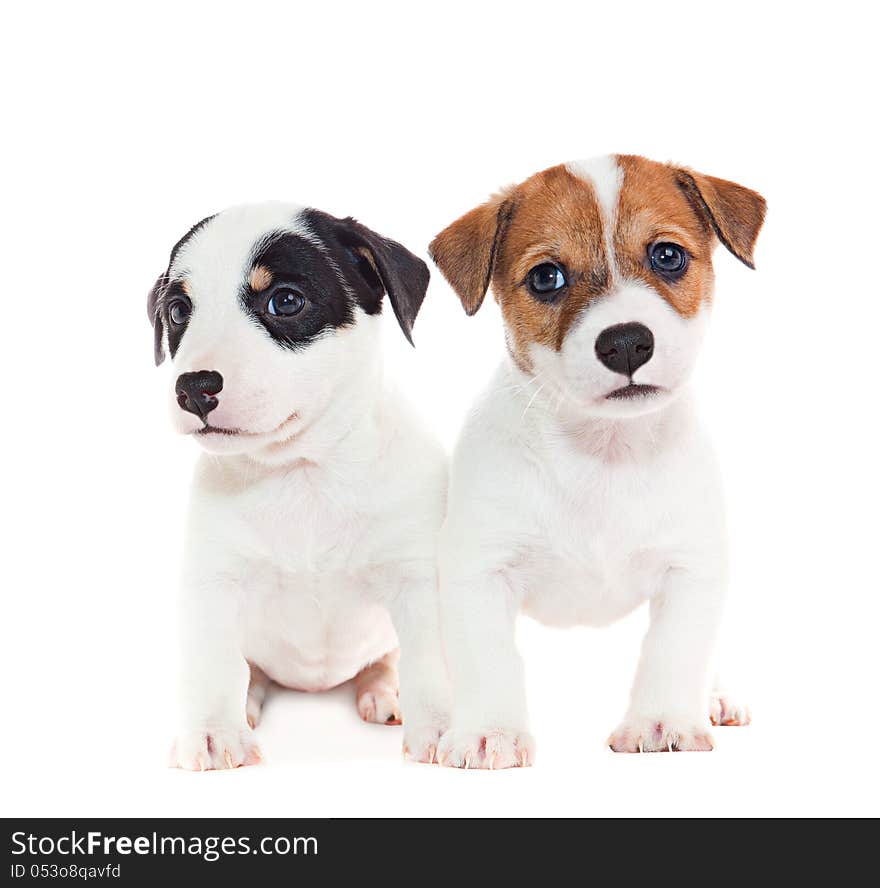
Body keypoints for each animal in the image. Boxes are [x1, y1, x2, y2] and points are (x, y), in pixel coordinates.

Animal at [150, 203, 446, 772]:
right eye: (177, 311)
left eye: (285, 301)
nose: (193, 388)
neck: (303, 473)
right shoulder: (214, 584)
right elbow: (214, 664)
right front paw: (212, 733)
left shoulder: (418, 581)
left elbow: (432, 659)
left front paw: (446, 728)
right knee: (250, 670)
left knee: (384, 659)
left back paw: (383, 692)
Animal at [430, 156, 760, 768]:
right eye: (546, 278)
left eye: (668, 256)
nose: (626, 342)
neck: (601, 454)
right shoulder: (478, 570)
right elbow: (487, 659)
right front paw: (489, 731)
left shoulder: (691, 567)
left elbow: (674, 649)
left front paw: (662, 720)